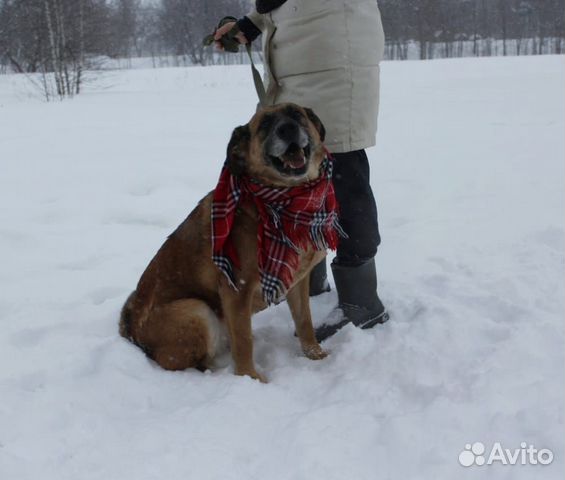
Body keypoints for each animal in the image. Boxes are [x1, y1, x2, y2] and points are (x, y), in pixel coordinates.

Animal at [120, 102, 338, 382]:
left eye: (296, 114)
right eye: (265, 124)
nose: (287, 129)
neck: (285, 203)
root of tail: (132, 326)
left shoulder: (297, 282)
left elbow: (304, 322)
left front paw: (315, 354)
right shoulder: (237, 289)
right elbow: (244, 341)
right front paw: (250, 379)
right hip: (196, 310)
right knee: (179, 362)